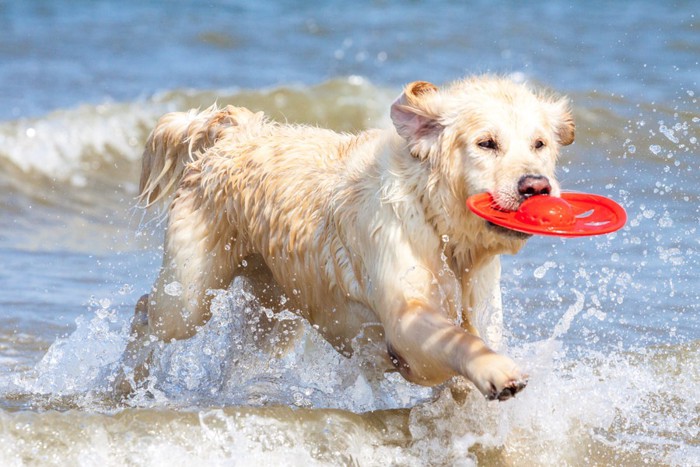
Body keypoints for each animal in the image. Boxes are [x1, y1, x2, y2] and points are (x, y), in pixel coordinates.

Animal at [120, 77, 576, 402]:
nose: (536, 186)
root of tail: (232, 133)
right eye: (486, 143)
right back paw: (123, 386)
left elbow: (473, 344)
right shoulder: (406, 320)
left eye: (540, 143)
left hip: (274, 311)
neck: (439, 224)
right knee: (147, 312)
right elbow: (455, 341)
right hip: (189, 295)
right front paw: (498, 372)